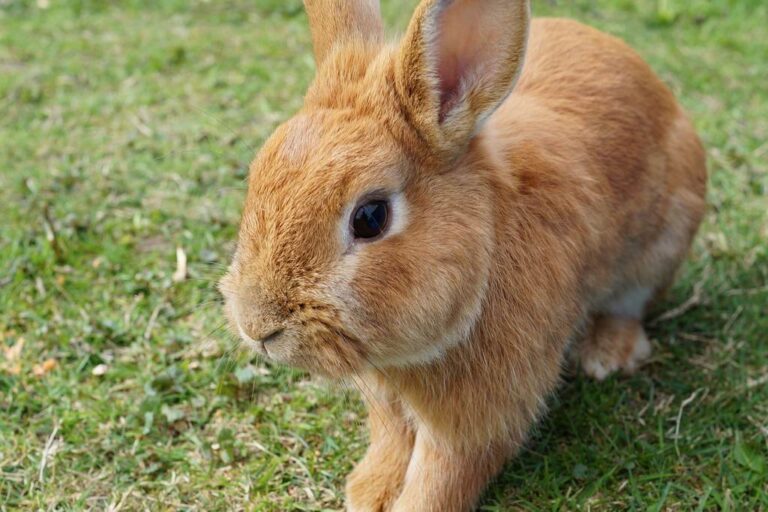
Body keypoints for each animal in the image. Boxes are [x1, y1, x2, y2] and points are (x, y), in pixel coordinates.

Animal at [219, 0, 707, 510]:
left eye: (370, 217)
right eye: (257, 176)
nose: (256, 327)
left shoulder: (484, 411)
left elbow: (446, 471)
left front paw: (410, 505)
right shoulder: (387, 400)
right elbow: (392, 438)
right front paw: (368, 493)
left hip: (661, 244)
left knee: (629, 306)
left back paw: (607, 355)